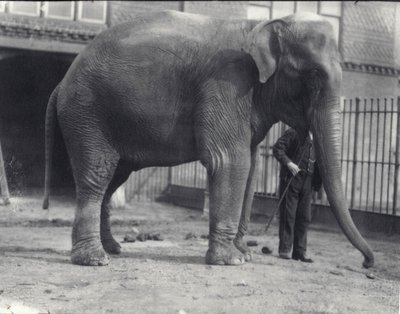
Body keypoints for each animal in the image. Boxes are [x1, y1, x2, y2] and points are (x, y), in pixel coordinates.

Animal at [42, 11, 374, 268]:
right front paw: (231, 261)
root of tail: (61, 83)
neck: (261, 25)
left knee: (114, 178)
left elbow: (251, 168)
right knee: (97, 174)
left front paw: (245, 255)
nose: (367, 263)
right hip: (87, 113)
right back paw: (95, 259)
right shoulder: (227, 82)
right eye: (314, 76)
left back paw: (114, 249)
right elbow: (230, 161)